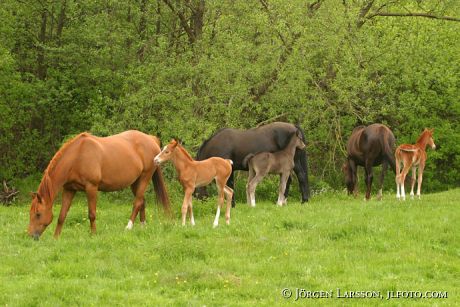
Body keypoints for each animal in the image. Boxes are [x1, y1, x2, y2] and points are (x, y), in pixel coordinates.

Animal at [27, 130, 171, 241]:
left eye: (38, 214)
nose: (31, 236)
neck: (77, 157)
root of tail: (151, 139)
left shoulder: (91, 188)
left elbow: (92, 214)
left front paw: (93, 234)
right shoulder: (69, 189)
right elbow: (62, 215)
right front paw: (56, 238)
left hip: (145, 177)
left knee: (137, 203)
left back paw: (128, 227)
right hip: (135, 181)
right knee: (142, 201)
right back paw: (142, 227)